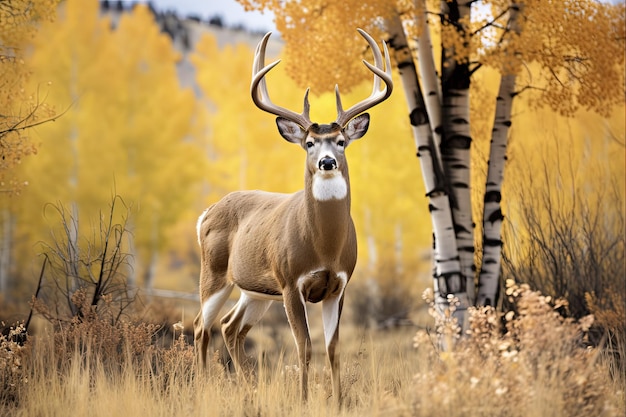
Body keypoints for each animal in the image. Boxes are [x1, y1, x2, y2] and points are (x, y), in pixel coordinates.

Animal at [193, 27, 392, 402]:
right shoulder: (289, 281)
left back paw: (249, 390)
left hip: (255, 290)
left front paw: (338, 402)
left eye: (341, 141)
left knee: (230, 326)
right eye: (309, 143)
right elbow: (304, 347)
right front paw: (302, 400)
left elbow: (333, 349)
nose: (326, 162)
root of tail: (207, 212)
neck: (325, 247)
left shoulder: (339, 284)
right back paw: (202, 390)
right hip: (214, 272)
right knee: (201, 325)